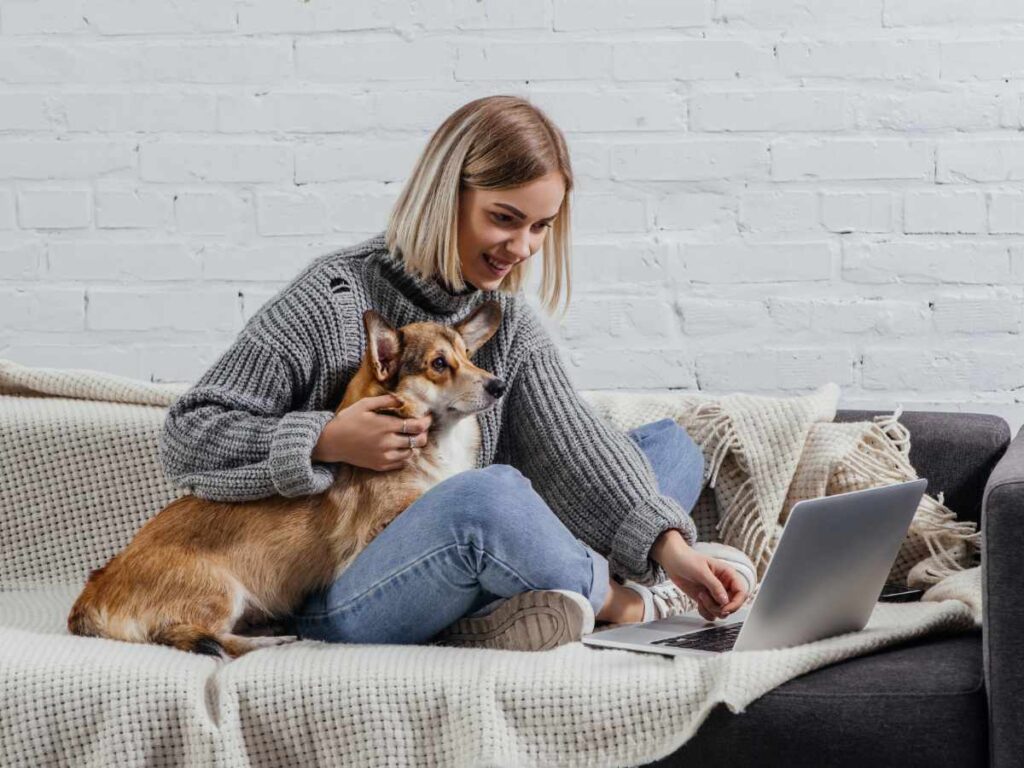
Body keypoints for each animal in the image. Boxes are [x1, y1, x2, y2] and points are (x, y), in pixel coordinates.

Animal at [66, 301, 505, 663]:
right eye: (439, 364)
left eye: (468, 356)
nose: (498, 385)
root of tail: (93, 590)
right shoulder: (378, 528)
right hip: (221, 591)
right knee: (210, 639)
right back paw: (270, 640)